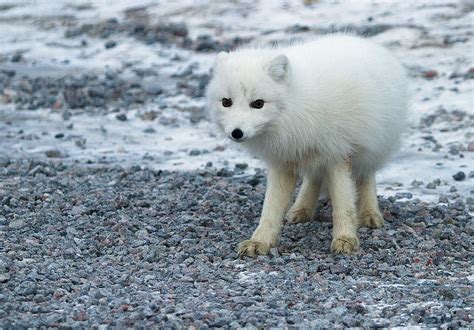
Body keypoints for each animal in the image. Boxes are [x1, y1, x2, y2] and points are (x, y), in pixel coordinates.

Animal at [206, 35, 408, 258]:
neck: (296, 107)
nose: (236, 132)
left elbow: (344, 204)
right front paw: (259, 241)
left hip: (371, 148)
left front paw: (345, 239)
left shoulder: (338, 155)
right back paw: (301, 209)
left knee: (365, 177)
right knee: (313, 178)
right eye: (226, 102)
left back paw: (370, 213)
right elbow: (270, 209)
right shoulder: (282, 162)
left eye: (258, 104)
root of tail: (368, 42)